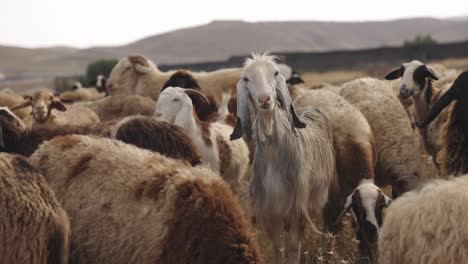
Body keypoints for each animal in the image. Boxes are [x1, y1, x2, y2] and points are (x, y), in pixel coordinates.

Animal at [294, 89, 390, 260]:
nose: (372, 233)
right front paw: (326, 254)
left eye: (380, 206)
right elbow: (331, 226)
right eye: (358, 206)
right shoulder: (332, 196)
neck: (353, 143)